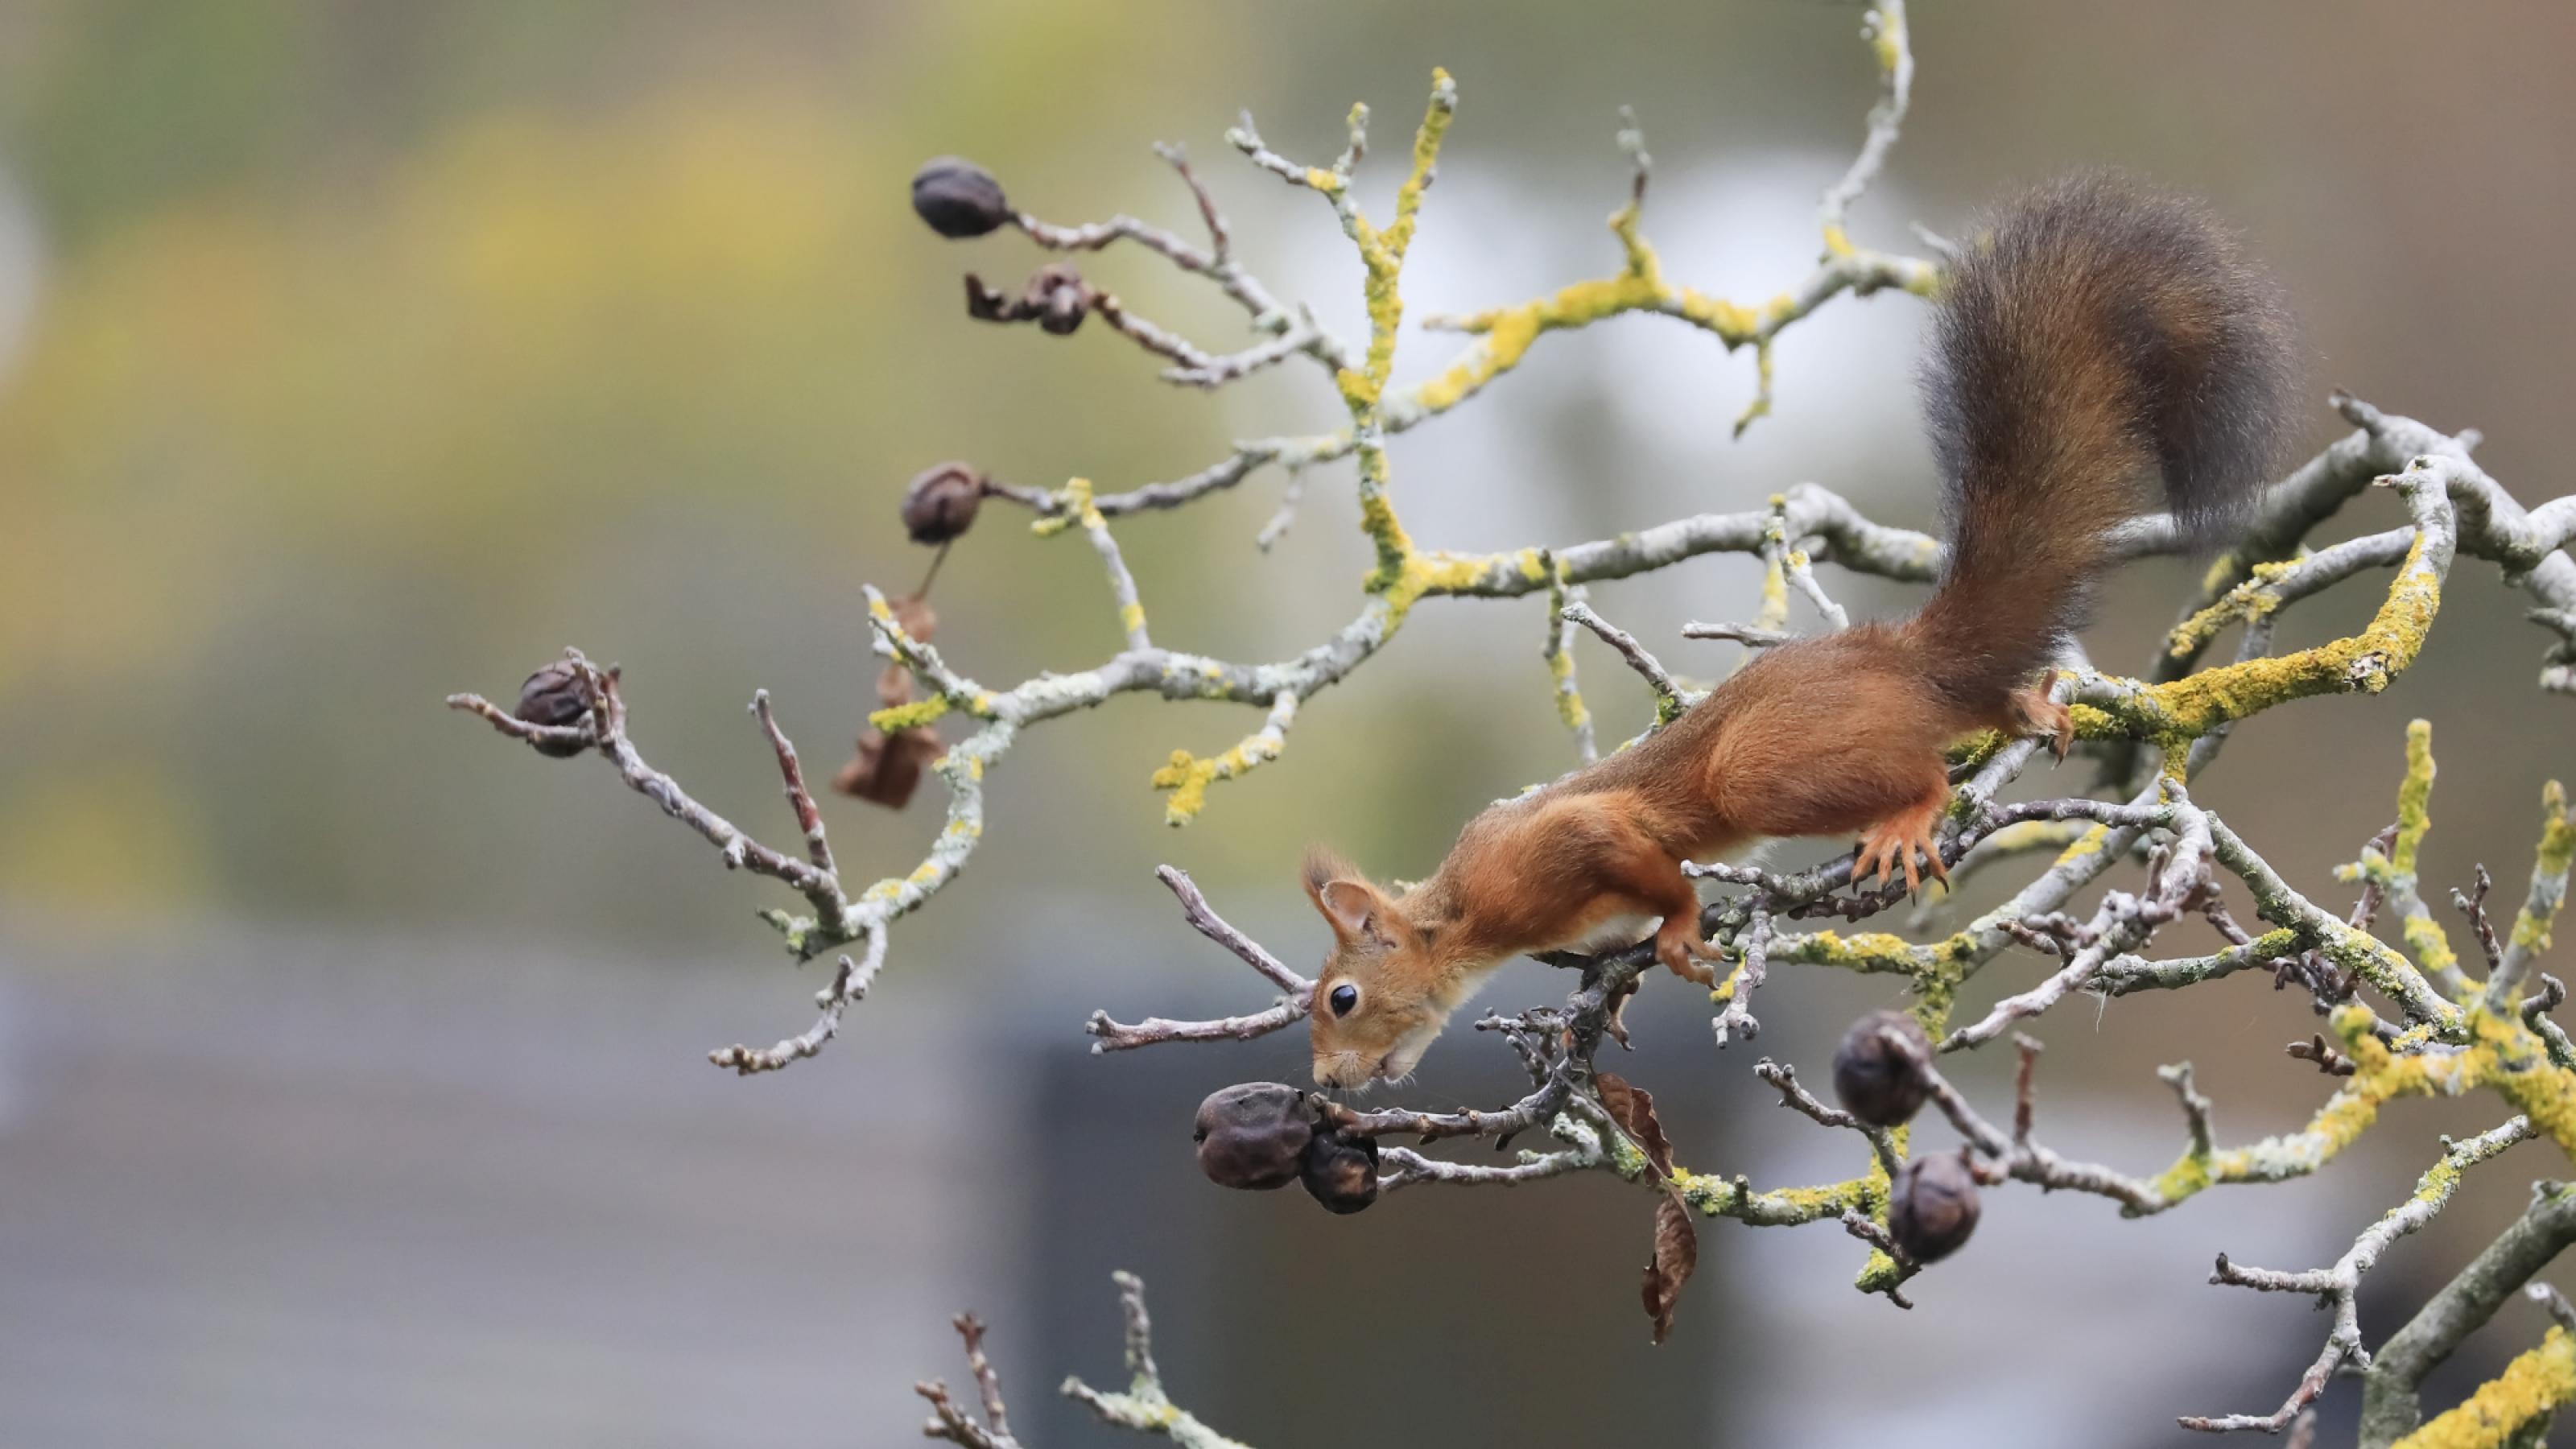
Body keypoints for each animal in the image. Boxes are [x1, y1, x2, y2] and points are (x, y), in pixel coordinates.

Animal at [1308, 171, 2297, 1083]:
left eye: (1340, 997)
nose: (1324, 1083)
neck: (1460, 919)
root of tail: (1901, 657)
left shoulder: (1555, 849)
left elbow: (1644, 864)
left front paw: (1675, 928)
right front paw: (1608, 1004)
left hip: (1763, 772)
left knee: (1914, 772)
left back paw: (1913, 810)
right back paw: (2027, 709)